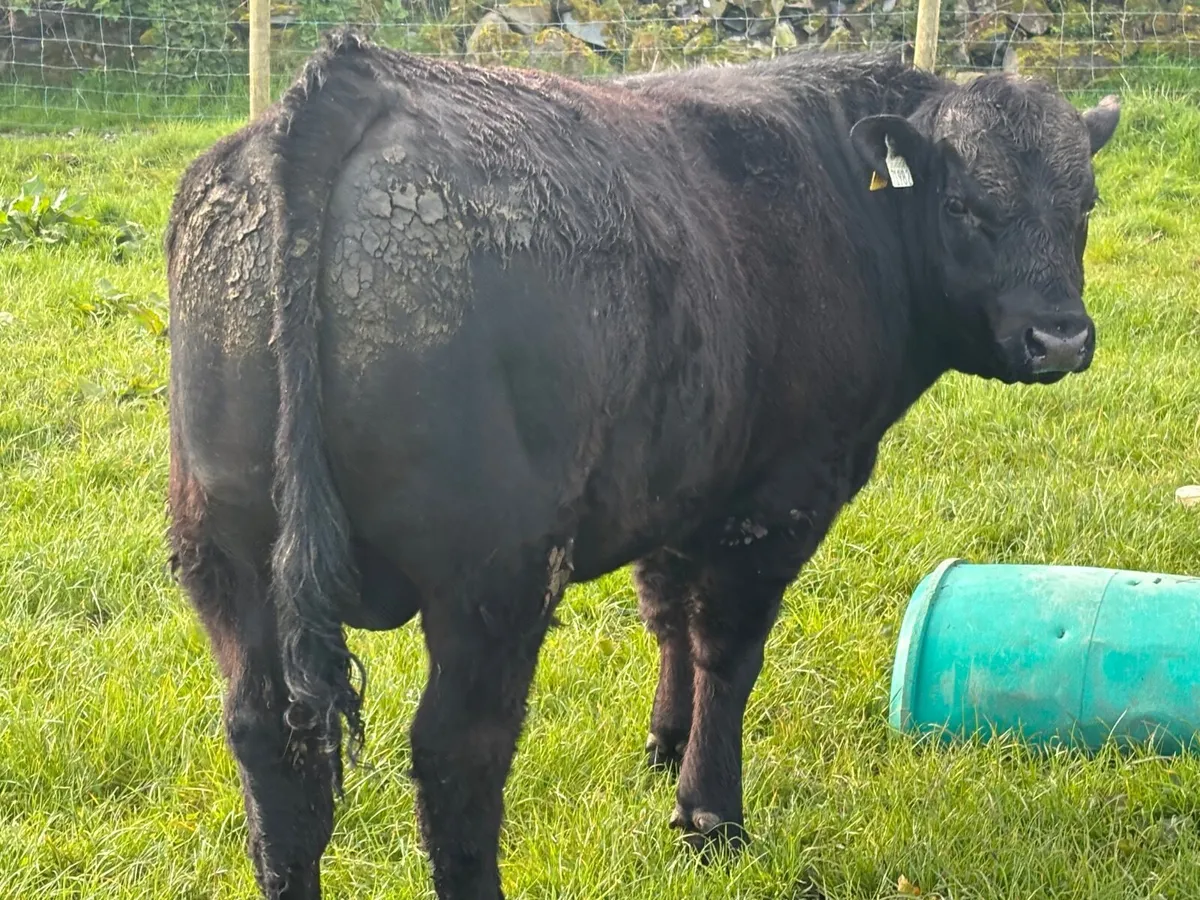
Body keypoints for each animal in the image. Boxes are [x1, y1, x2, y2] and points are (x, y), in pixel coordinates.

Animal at [164, 28, 1119, 900]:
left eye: (1086, 203)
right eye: (963, 204)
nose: (1059, 336)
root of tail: (347, 81)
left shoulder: (677, 485)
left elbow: (668, 618)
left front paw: (663, 745)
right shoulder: (778, 499)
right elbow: (727, 652)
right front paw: (709, 815)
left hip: (227, 558)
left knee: (266, 740)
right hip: (494, 575)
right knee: (456, 753)